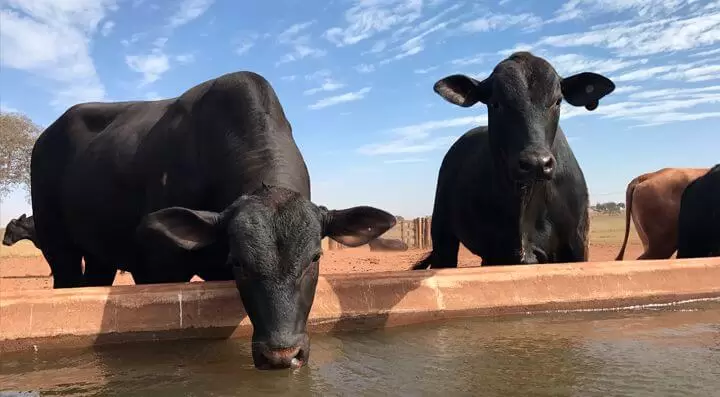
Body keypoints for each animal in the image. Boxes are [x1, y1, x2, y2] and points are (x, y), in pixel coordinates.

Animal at [31, 69, 396, 370]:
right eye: (239, 262)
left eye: (315, 258)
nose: (282, 355)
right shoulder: (158, 269)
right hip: (56, 245)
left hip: (100, 256)